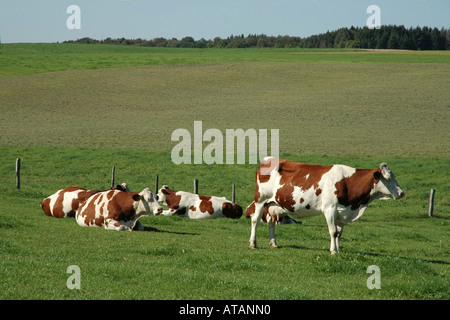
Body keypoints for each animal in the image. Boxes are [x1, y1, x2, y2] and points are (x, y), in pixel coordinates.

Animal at [248, 156, 406, 254]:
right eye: (388, 178)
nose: (402, 192)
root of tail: (267, 160)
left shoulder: (342, 212)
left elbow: (339, 233)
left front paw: (338, 249)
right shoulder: (330, 209)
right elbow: (333, 232)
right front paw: (333, 251)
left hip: (272, 204)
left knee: (271, 223)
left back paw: (273, 243)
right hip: (260, 200)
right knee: (255, 220)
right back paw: (253, 243)